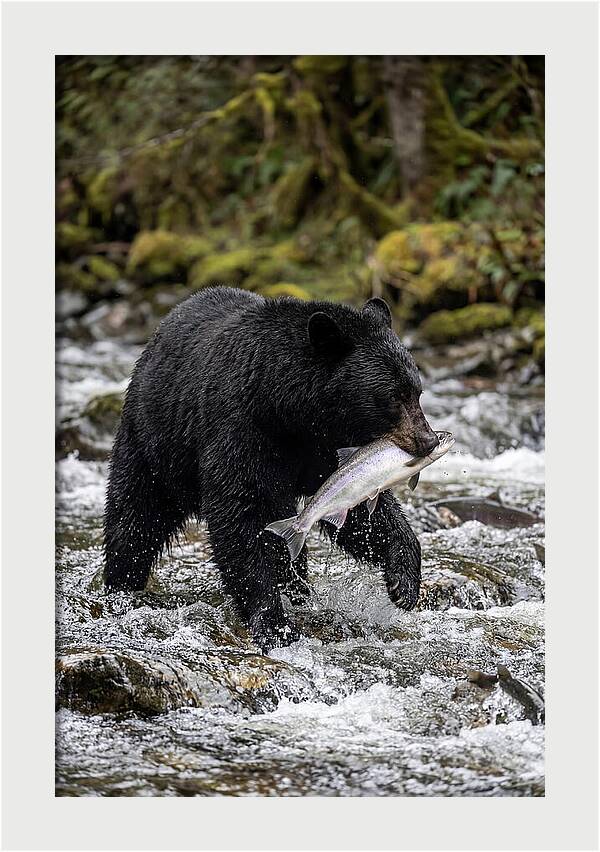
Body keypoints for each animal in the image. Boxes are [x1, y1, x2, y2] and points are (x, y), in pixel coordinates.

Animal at [104, 287, 439, 649]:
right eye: (393, 397)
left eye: (417, 392)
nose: (429, 440)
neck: (289, 409)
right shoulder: (241, 429)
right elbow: (240, 515)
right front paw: (274, 623)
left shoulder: (327, 448)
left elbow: (358, 508)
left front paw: (403, 582)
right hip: (154, 443)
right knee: (135, 516)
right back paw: (121, 584)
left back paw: (298, 588)